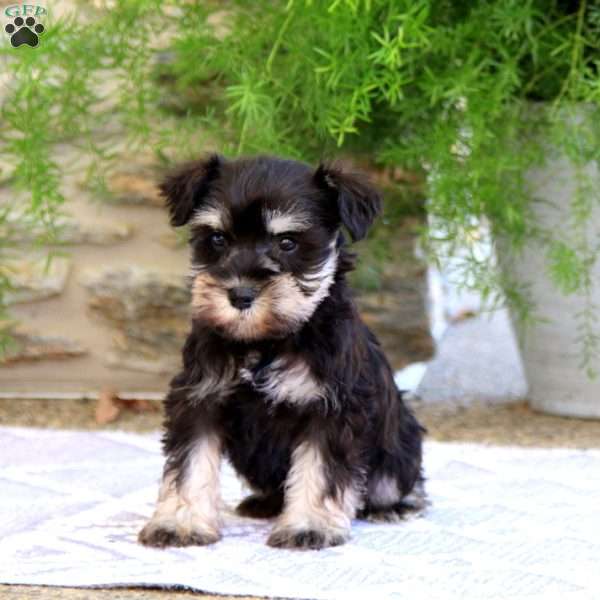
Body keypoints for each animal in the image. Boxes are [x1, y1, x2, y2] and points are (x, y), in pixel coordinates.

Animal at [138, 156, 424, 552]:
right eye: (217, 239)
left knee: (394, 483)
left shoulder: (330, 408)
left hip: (397, 449)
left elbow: (319, 471)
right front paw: (181, 522)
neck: (264, 342)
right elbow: (190, 465)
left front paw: (309, 527)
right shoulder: (199, 399)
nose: (240, 295)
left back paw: (393, 507)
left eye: (287, 242)